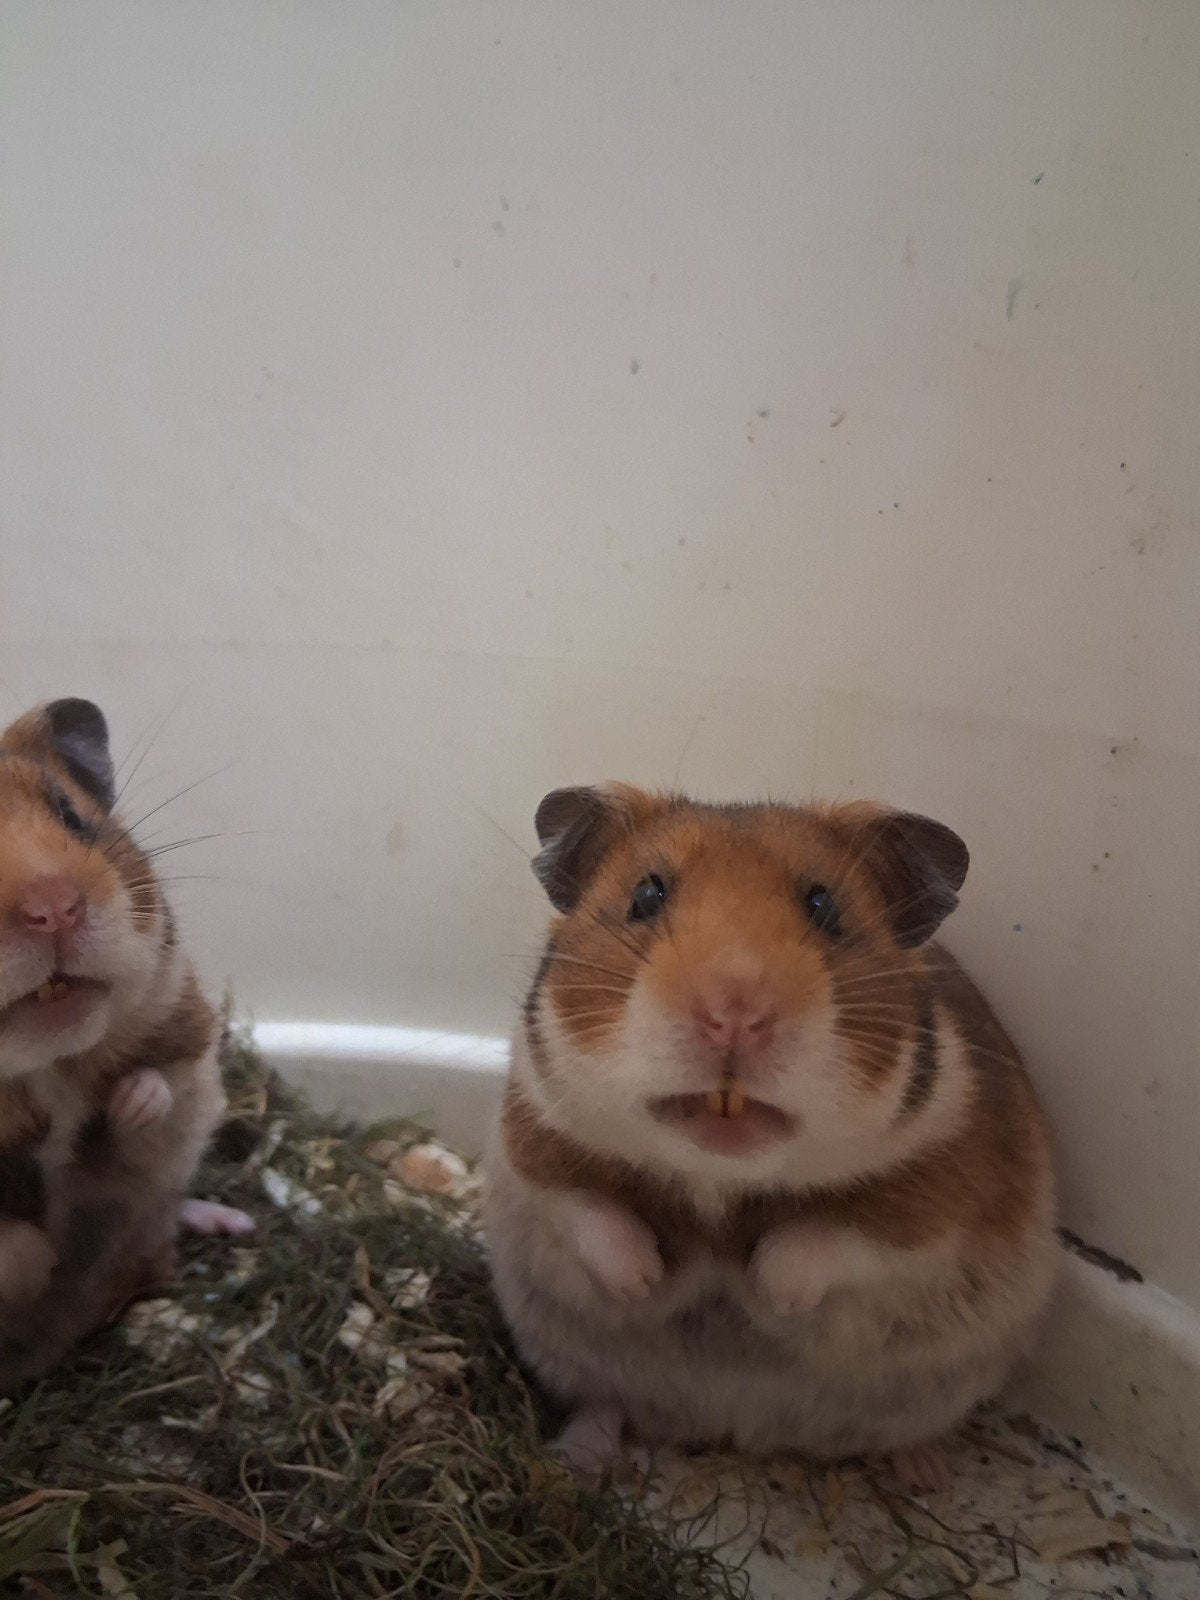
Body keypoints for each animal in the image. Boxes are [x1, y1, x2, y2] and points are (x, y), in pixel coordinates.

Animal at [0, 698, 251, 1388]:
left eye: (70, 814)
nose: (54, 910)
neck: (46, 1064)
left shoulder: (185, 1039)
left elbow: (159, 1084)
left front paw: (131, 1104)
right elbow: (14, 1242)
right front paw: (42, 1261)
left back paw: (232, 1223)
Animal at [482, 784, 1058, 1487]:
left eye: (824, 907)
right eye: (646, 896)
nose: (734, 1011)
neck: (720, 1176)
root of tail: (737, 1430)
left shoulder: (955, 1192)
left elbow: (835, 1236)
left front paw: (770, 1295)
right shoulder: (531, 1136)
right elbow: (586, 1207)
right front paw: (642, 1281)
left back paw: (926, 1474)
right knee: (604, 1402)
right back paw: (579, 1457)